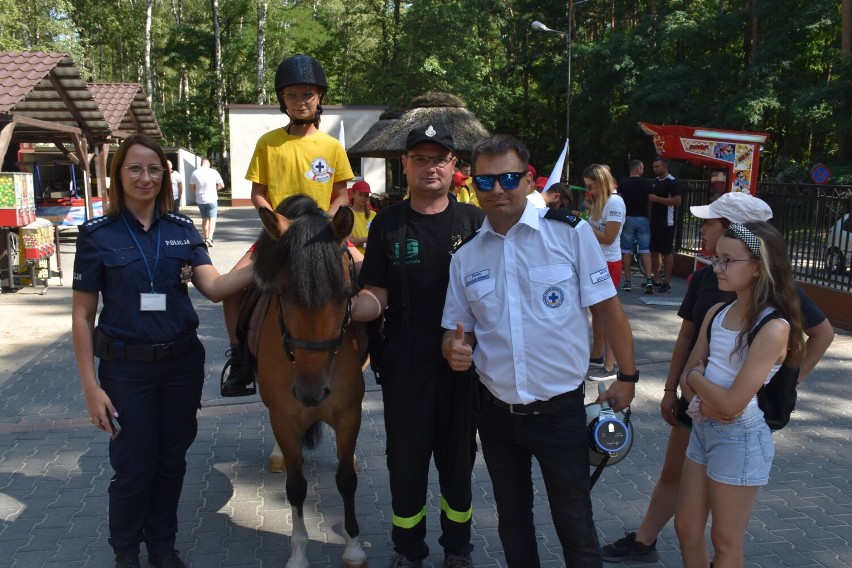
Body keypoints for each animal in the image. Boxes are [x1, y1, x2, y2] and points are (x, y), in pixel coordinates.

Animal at [248, 197, 364, 564]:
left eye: (346, 293)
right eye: (282, 294)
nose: (311, 393)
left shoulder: (348, 414)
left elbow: (346, 479)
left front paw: (353, 546)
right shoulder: (284, 418)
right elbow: (296, 486)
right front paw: (298, 551)